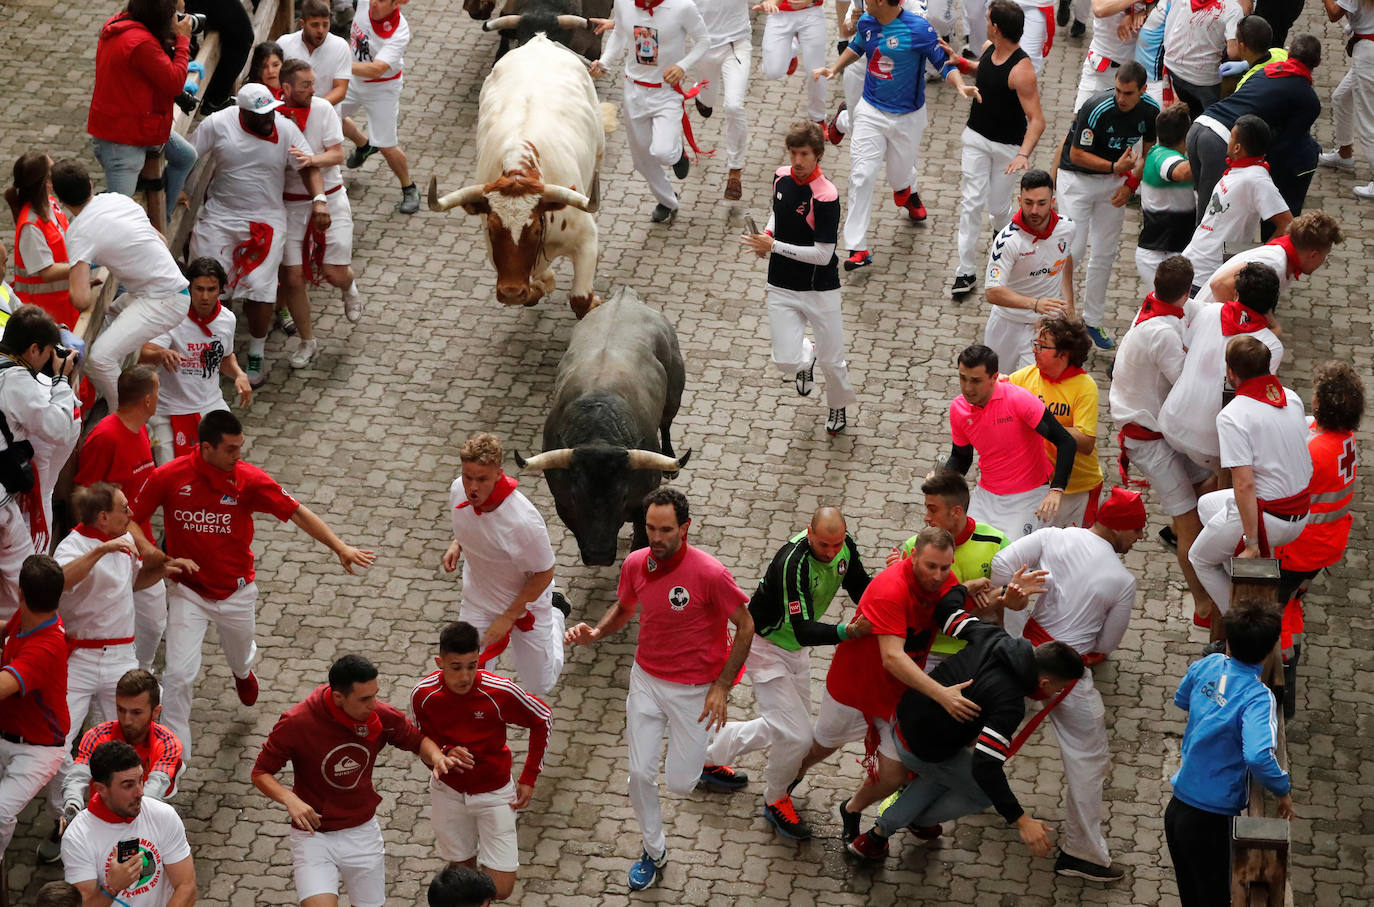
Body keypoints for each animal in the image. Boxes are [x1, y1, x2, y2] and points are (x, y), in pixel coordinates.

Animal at [428, 33, 612, 318]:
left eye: (535, 229)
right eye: (493, 229)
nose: (511, 293)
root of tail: (539, 41)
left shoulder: (585, 238)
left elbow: (580, 300)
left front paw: (593, 303)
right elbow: (537, 287)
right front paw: (541, 285)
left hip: (599, 154)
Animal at [516, 288, 687, 566]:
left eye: (622, 496)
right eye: (576, 497)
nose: (598, 555)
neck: (599, 433)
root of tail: (625, 296)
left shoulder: (644, 499)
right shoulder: (562, 502)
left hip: (674, 393)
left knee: (667, 423)